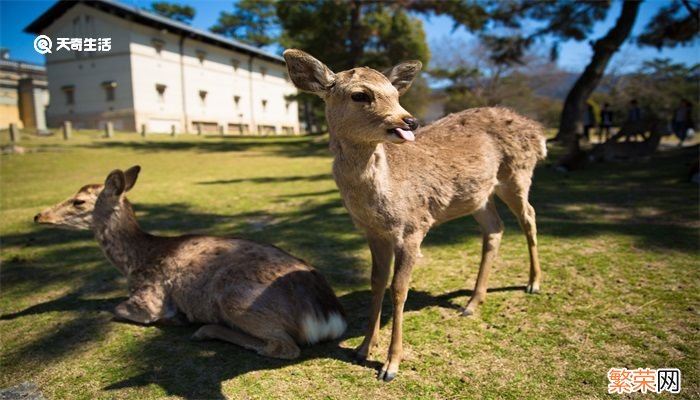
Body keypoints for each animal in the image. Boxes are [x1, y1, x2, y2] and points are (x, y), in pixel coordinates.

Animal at [35, 166, 348, 360]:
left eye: (78, 201)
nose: (39, 215)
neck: (134, 262)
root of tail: (329, 317)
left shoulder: (148, 296)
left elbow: (117, 308)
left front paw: (171, 317)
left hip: (236, 299)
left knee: (282, 347)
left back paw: (203, 329)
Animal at [284, 49, 548, 382]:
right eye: (360, 94)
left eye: (396, 93)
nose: (409, 120)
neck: (385, 200)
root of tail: (539, 132)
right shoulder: (373, 233)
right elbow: (376, 283)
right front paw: (362, 349)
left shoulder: (414, 228)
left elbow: (398, 289)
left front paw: (390, 366)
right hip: (480, 195)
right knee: (495, 228)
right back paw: (472, 303)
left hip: (517, 174)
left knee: (529, 216)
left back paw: (533, 283)